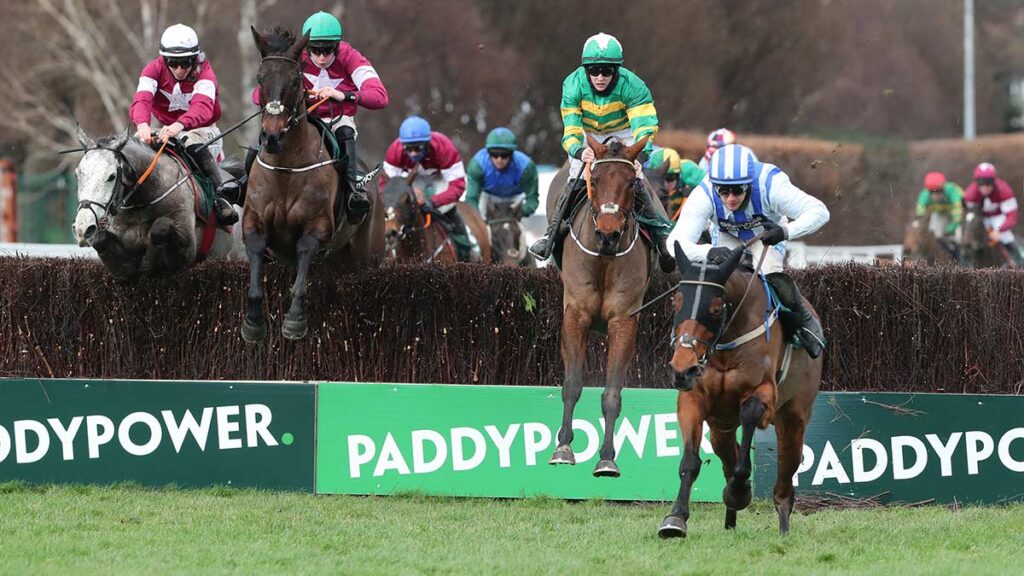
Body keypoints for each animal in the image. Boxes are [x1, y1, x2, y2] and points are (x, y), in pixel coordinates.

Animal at [70, 126, 243, 280]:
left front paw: (149, 262)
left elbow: (160, 227)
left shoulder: (187, 249)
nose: (83, 228)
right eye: (77, 174)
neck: (141, 202)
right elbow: (103, 242)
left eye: (111, 176)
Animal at [241, 26, 385, 340]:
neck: (286, 169)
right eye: (260, 78)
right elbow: (256, 252)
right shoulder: (253, 220)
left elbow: (305, 252)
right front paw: (253, 322)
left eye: (296, 80)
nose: (272, 137)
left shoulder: (317, 225)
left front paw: (294, 320)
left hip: (368, 256)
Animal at [548, 133, 659, 475]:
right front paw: (563, 447)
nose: (608, 234)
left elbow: (612, 393)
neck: (605, 258)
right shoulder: (576, 315)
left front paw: (607, 457)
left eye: (631, 183)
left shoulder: (623, 321)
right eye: (594, 181)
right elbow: (572, 384)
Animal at [663, 239, 823, 537]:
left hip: (794, 417)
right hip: (720, 427)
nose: (682, 368)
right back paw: (729, 522)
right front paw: (675, 518)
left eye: (715, 308)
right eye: (677, 302)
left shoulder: (764, 394)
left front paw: (738, 492)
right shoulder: (693, 398)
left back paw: (783, 526)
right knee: (727, 454)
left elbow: (749, 420)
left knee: (786, 471)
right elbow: (690, 461)